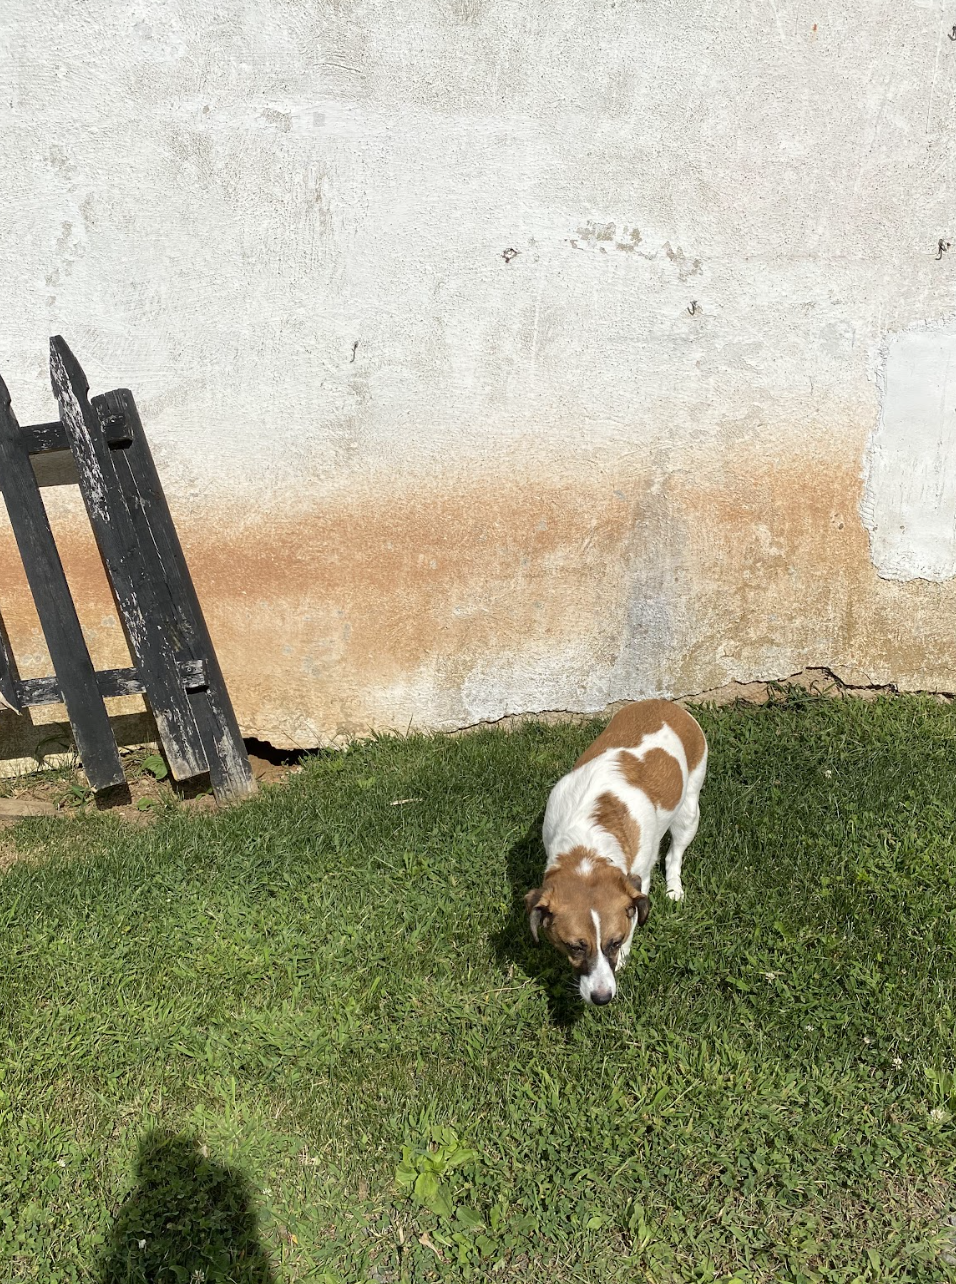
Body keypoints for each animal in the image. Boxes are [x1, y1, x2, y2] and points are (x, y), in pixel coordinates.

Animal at [524, 699, 707, 1006]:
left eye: (616, 941)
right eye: (574, 946)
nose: (602, 998)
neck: (588, 844)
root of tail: (665, 703)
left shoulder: (639, 878)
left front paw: (622, 958)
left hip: (689, 812)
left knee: (674, 856)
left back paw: (674, 889)